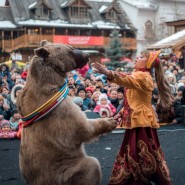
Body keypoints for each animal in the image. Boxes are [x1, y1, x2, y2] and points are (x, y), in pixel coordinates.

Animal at [16, 40, 116, 185]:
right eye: (70, 50)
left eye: (71, 47)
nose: (86, 56)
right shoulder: (59, 110)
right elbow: (81, 127)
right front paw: (110, 121)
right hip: (64, 171)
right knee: (91, 165)